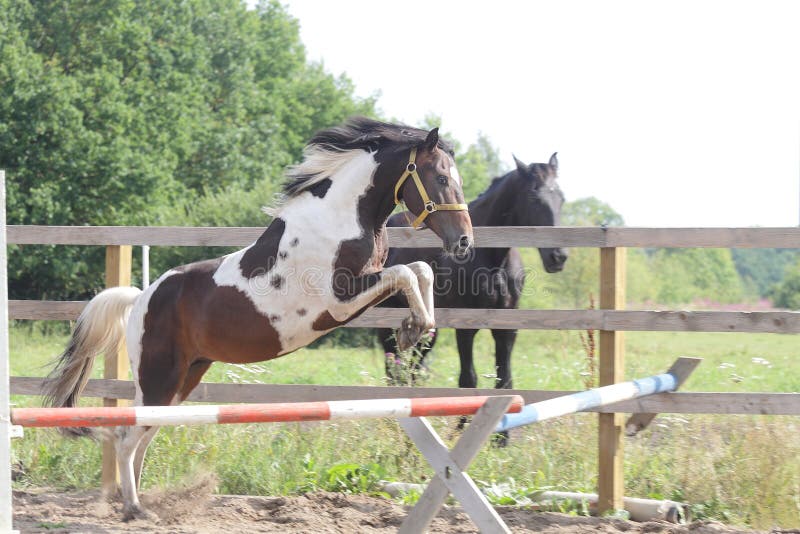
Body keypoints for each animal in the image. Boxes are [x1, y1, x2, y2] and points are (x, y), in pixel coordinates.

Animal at [42, 117, 473, 521]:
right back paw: (135, 509)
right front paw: (413, 329)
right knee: (126, 437)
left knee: (140, 437)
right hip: (158, 379)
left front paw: (415, 329)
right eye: (440, 178)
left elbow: (419, 270)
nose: (464, 243)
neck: (338, 220)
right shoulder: (338, 302)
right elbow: (407, 272)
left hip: (183, 379)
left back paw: (141, 504)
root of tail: (139, 299)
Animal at [376, 153, 567, 440]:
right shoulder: (465, 328)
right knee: (393, 367)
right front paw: (461, 430)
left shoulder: (506, 329)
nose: (558, 257)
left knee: (412, 369)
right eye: (534, 197)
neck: (492, 257)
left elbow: (505, 380)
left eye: (562, 198)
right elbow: (468, 379)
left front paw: (501, 438)